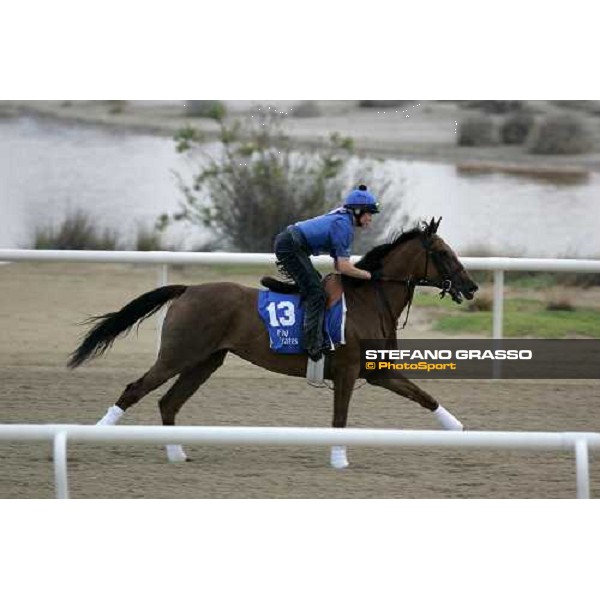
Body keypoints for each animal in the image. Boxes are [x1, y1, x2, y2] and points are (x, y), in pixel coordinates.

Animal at [68, 217, 478, 468]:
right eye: (443, 253)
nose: (471, 286)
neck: (367, 300)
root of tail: (188, 289)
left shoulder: (377, 372)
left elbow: (424, 395)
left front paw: (458, 429)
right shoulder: (346, 371)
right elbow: (340, 418)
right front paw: (339, 460)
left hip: (205, 360)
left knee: (168, 403)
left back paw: (177, 454)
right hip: (177, 354)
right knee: (135, 389)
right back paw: (97, 432)